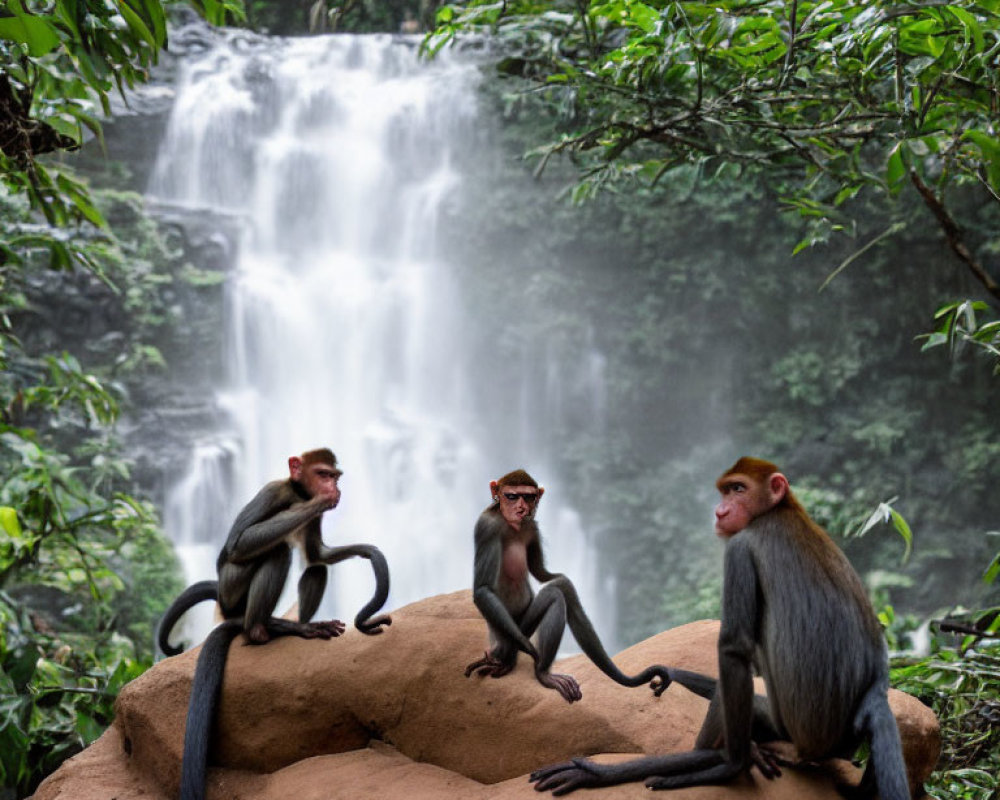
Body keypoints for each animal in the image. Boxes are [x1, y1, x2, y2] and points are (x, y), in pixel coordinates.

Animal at [156, 450, 390, 800]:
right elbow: (239, 543)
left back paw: (300, 625)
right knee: (276, 551)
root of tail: (227, 604)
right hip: (233, 586)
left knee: (315, 567)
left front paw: (367, 551)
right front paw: (319, 502)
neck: (298, 493)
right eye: (323, 474)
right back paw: (259, 629)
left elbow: (317, 554)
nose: (332, 487)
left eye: (334, 475)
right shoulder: (274, 491)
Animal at [536, 460, 912, 796]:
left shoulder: (740, 547)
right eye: (727, 491)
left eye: (739, 490)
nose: (720, 511)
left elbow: (732, 649)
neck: (783, 511)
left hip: (789, 733)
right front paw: (666, 673)